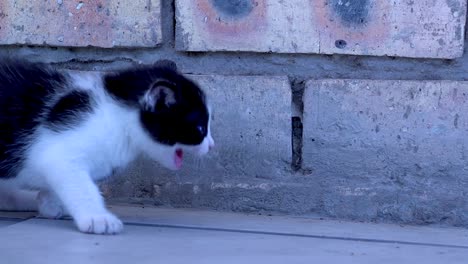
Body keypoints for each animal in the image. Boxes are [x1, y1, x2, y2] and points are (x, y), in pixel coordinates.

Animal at [0, 58, 214, 234]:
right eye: (200, 128)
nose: (212, 145)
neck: (117, 119)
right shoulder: (60, 153)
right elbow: (81, 186)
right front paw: (97, 218)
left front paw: (49, 203)